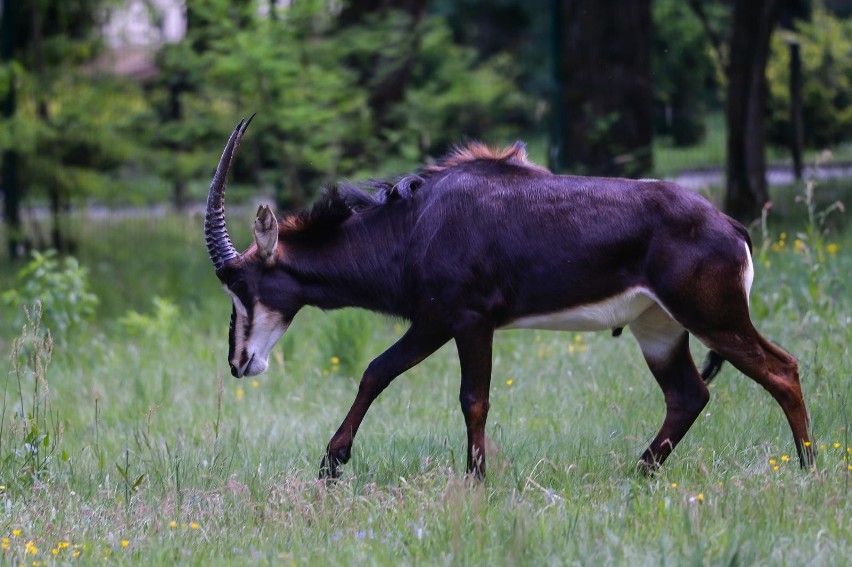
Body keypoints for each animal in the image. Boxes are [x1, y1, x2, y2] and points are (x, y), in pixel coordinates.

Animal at [205, 118, 812, 480]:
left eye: (241, 285)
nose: (238, 362)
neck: (415, 224)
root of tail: (731, 225)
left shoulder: (461, 319)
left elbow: (462, 395)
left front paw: (475, 478)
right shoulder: (441, 322)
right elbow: (380, 372)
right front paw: (332, 463)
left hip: (713, 317)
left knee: (782, 369)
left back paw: (806, 469)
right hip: (658, 329)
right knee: (688, 395)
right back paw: (636, 475)